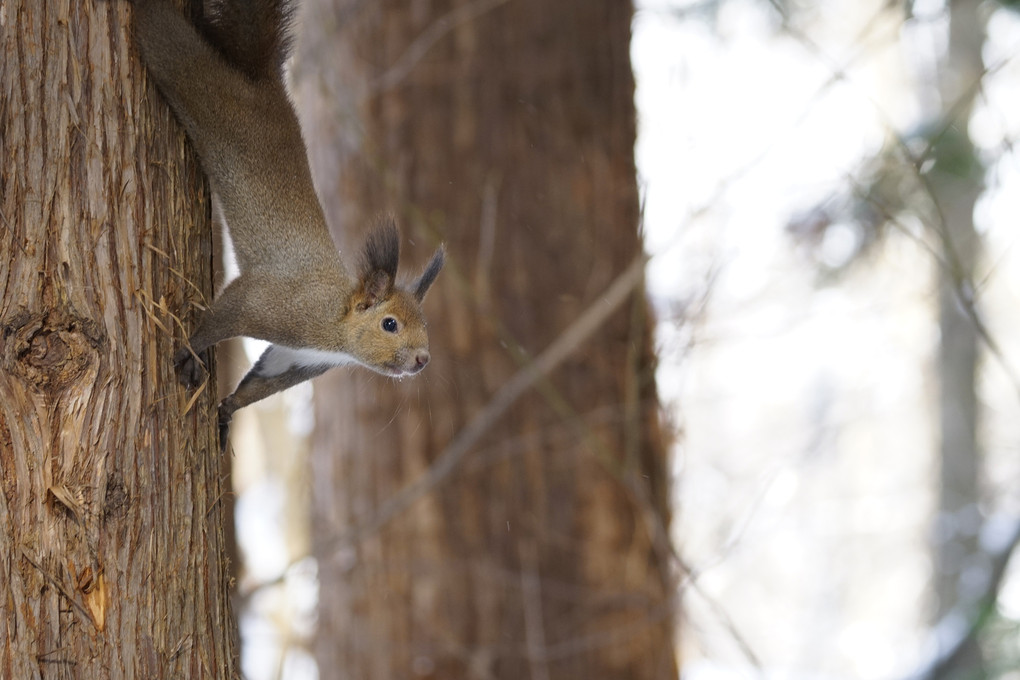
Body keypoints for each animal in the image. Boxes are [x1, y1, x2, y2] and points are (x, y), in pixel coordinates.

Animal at [129, 0, 444, 448]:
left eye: (425, 324)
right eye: (390, 324)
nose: (422, 359)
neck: (334, 322)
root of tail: (260, 82)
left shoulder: (297, 358)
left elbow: (261, 382)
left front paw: (228, 409)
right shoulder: (271, 304)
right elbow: (222, 315)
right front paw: (190, 352)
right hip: (194, 80)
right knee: (167, 40)